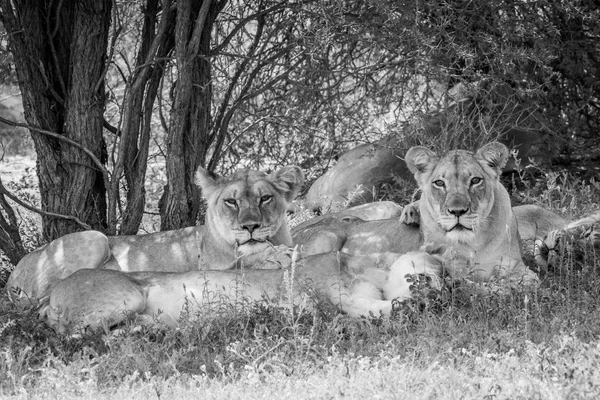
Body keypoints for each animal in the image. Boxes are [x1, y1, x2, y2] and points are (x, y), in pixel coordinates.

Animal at [4, 164, 304, 308]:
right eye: (231, 202)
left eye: (265, 198)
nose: (250, 226)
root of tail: (14, 273)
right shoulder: (209, 270)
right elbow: (243, 260)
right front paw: (276, 256)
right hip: (94, 237)